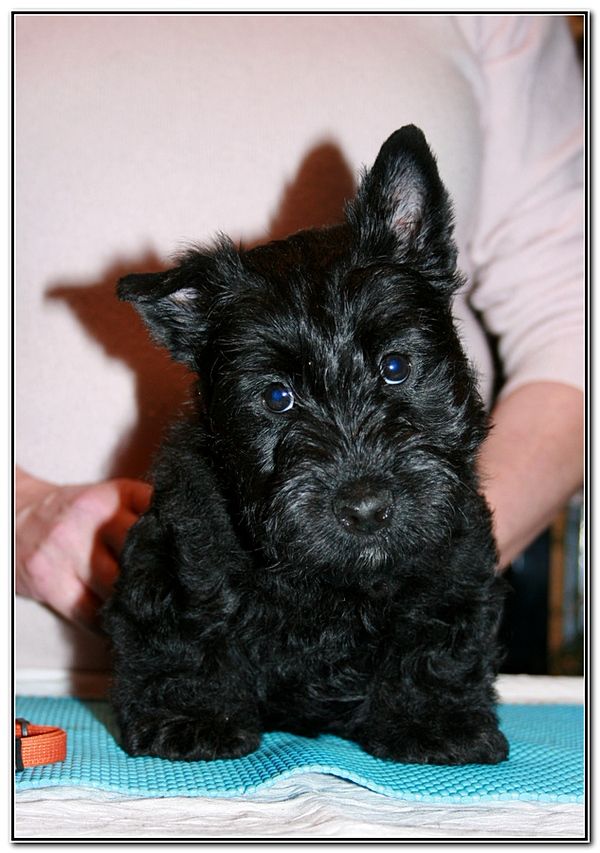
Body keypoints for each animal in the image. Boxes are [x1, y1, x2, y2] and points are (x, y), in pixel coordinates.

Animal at [104, 125, 509, 766]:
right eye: (277, 396)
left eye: (395, 366)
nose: (366, 508)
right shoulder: (174, 553)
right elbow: (186, 633)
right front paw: (191, 717)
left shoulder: (453, 557)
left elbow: (437, 639)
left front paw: (437, 723)